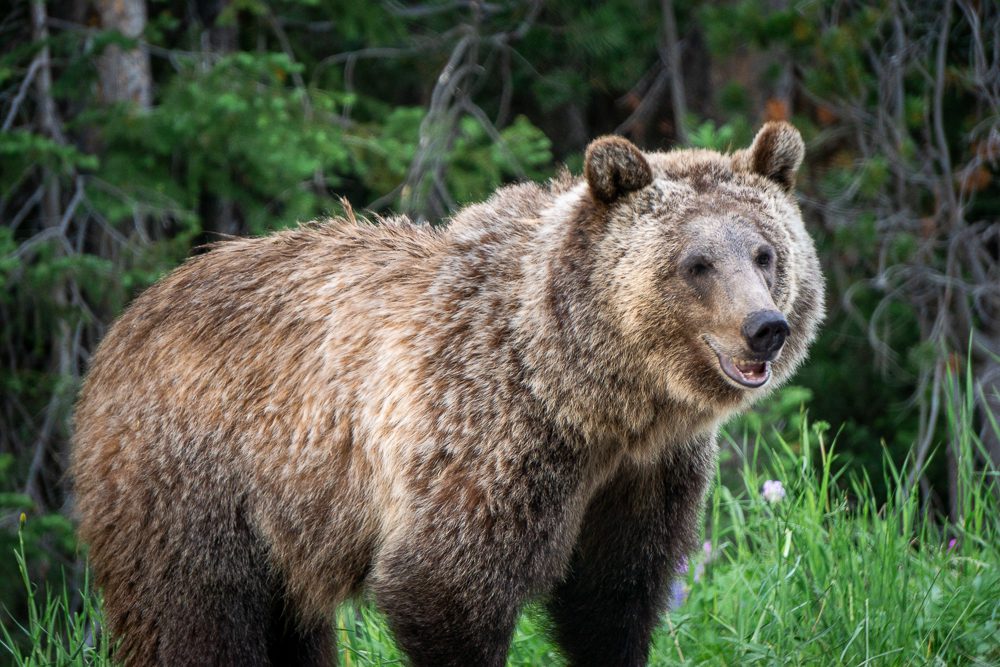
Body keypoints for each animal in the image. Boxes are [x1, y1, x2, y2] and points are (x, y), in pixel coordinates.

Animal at [68, 121, 820, 667]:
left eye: (765, 252)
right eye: (696, 263)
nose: (765, 328)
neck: (593, 398)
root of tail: (126, 321)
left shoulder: (643, 476)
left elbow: (615, 598)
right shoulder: (484, 432)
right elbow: (446, 586)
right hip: (190, 479)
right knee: (193, 615)